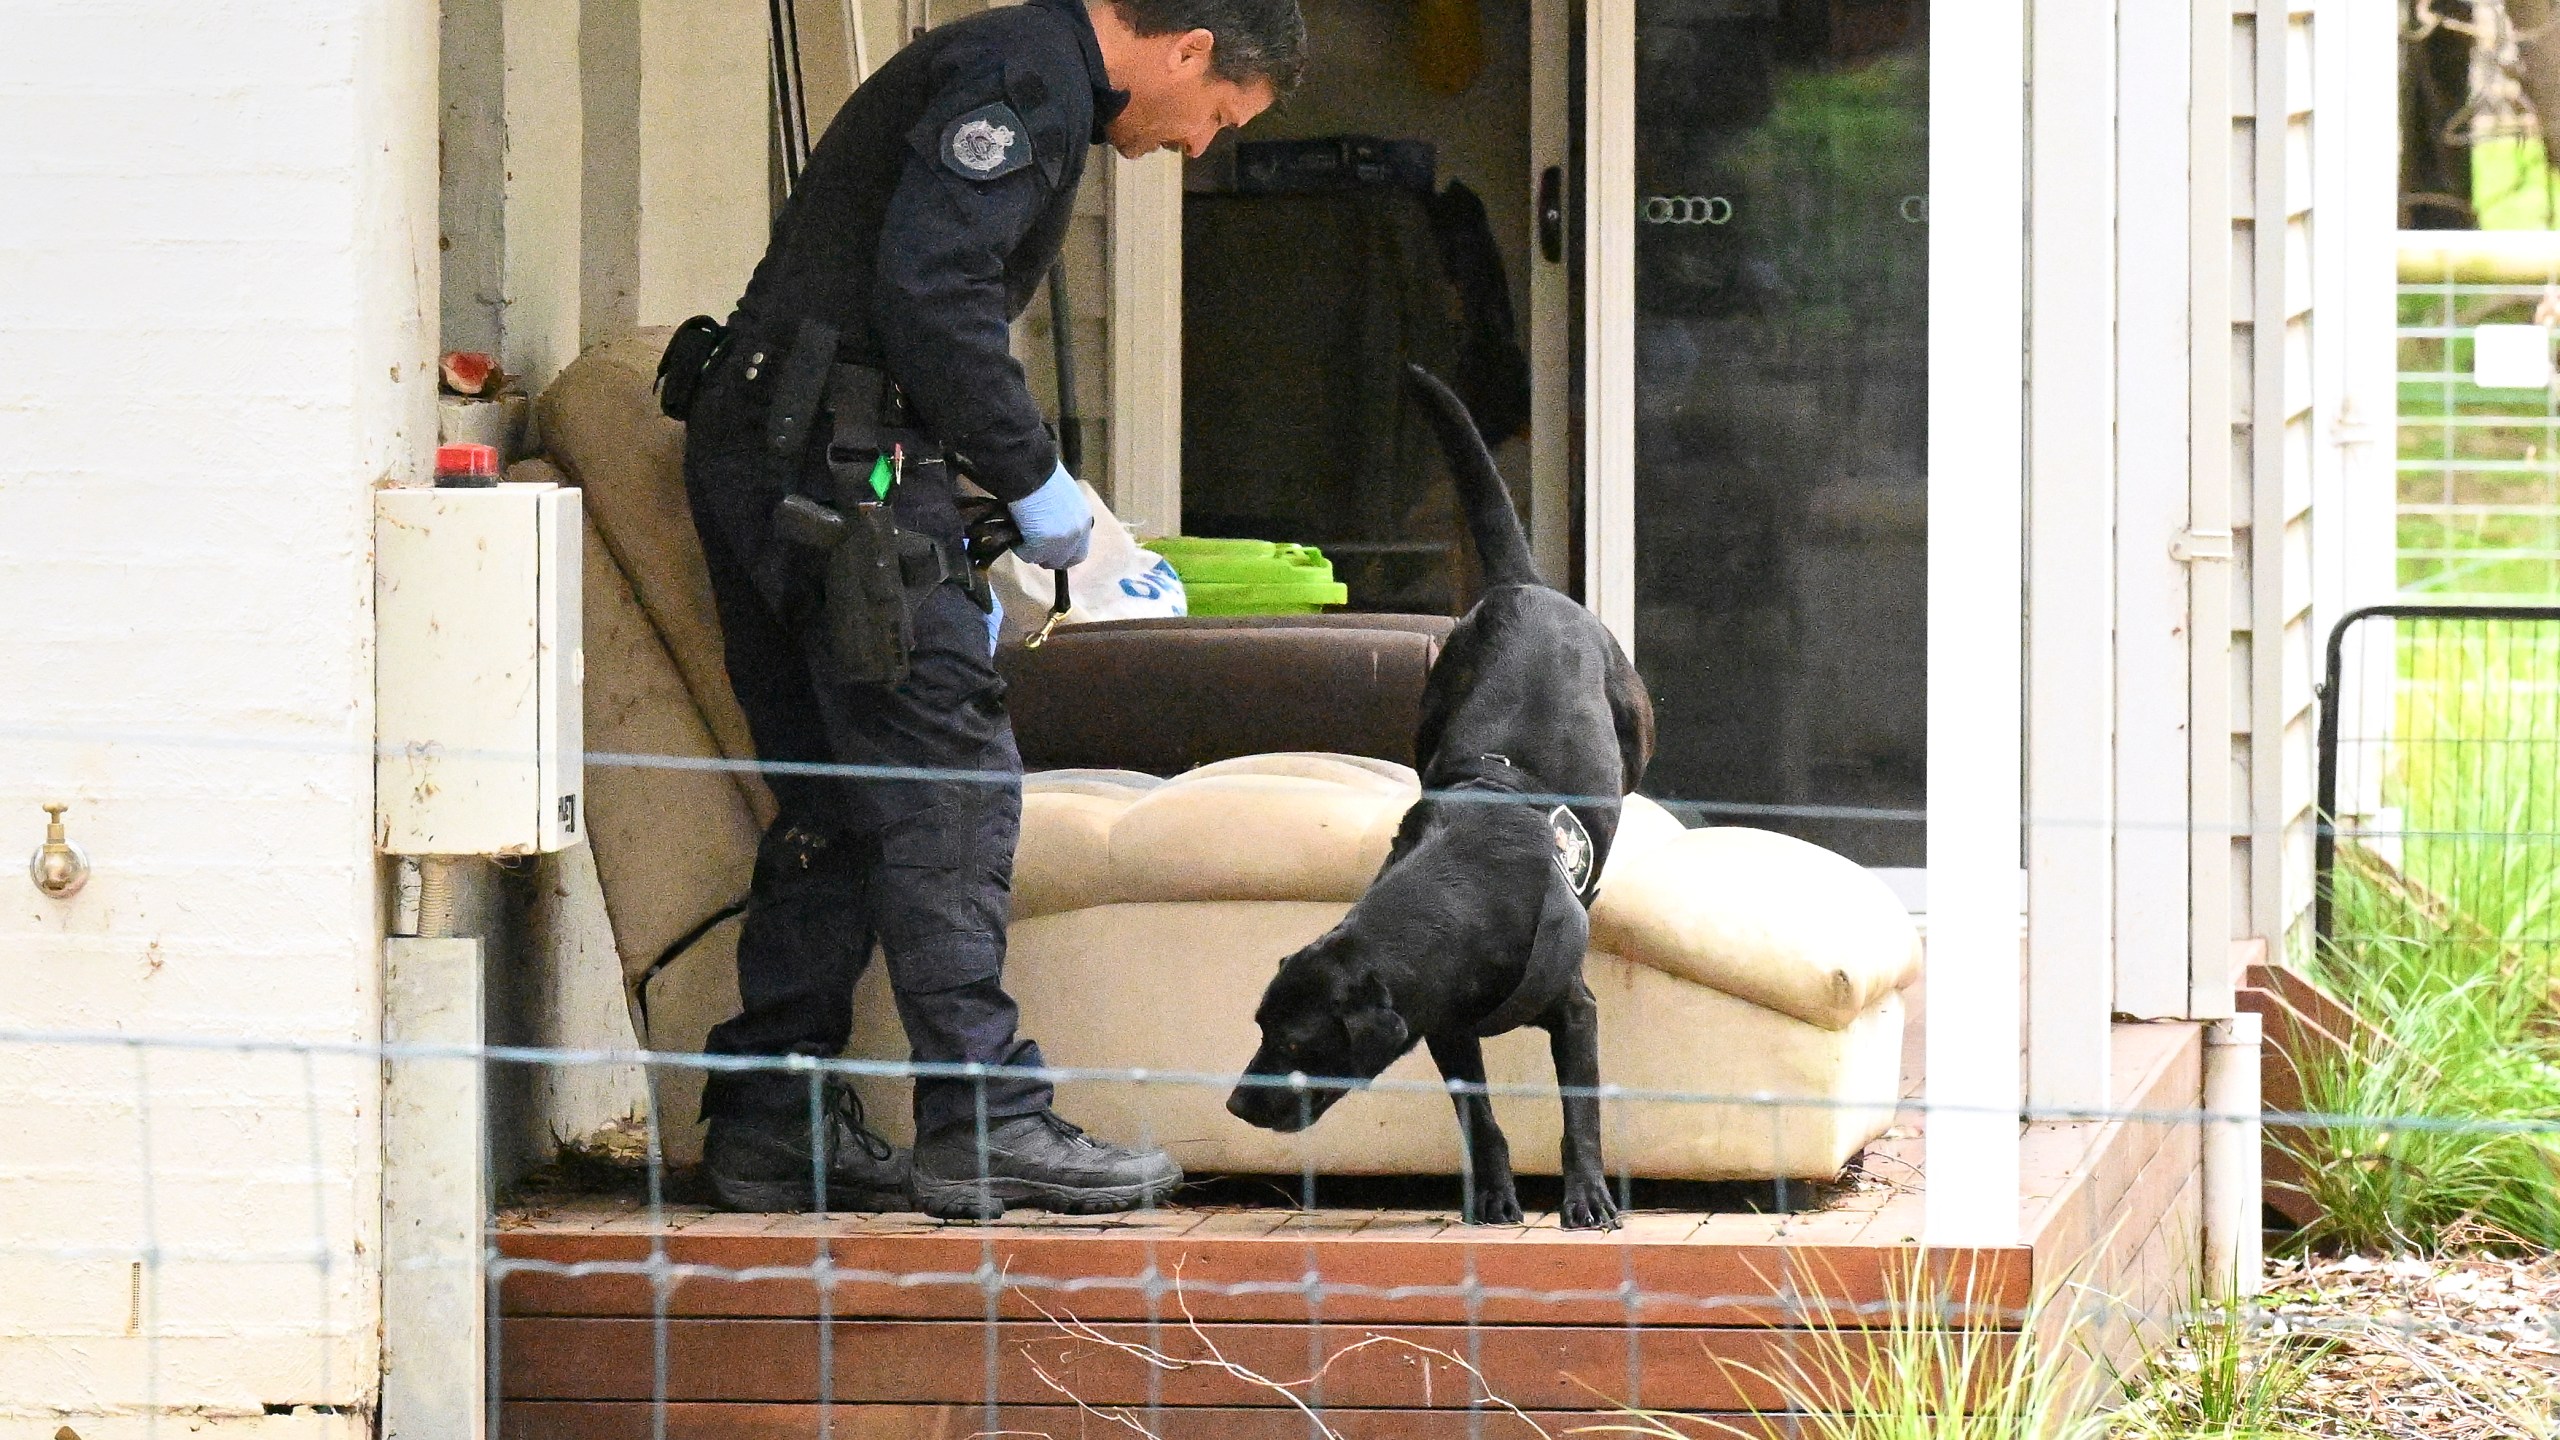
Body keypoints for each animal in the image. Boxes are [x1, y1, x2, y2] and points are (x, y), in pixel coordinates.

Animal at [1223, 363, 1658, 1229]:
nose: (1234, 1104)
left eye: (1295, 1044)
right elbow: (1479, 1117)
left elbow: (1581, 1113)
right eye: (1259, 1025)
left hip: (1636, 724)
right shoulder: (1444, 1029)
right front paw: (1491, 1195)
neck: (1464, 901)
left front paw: (1588, 1197)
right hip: (1427, 716)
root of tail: (1525, 586)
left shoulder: (1576, 1010)